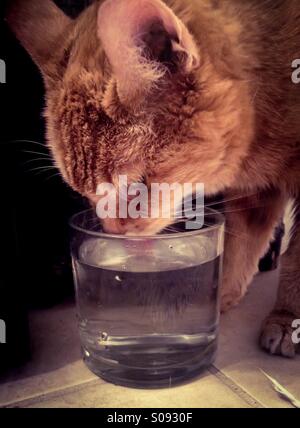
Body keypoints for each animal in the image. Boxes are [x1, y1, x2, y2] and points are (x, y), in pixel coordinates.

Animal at [6, 0, 300, 356]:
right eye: (82, 193)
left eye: (135, 187)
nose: (112, 233)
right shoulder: (255, 195)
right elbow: (238, 253)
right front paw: (213, 300)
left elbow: (295, 263)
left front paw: (288, 319)